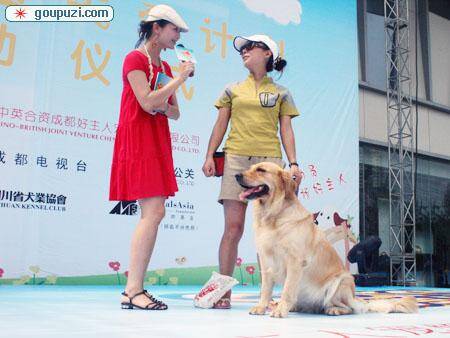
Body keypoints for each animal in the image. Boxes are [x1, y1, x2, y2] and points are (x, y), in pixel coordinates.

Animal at [236, 162, 418, 318]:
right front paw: (261, 307)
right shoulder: (266, 261)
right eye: (251, 167)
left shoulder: (294, 261)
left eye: (261, 170)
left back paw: (333, 310)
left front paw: (280, 310)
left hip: (342, 281)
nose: (237, 175)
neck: (274, 215)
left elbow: (287, 290)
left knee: (349, 308)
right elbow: (265, 290)